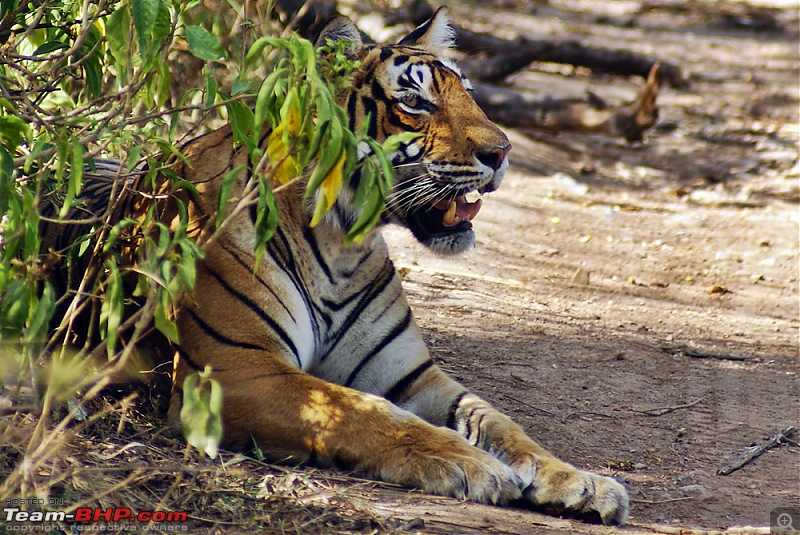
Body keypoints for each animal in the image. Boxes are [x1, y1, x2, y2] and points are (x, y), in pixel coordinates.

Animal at [45, 6, 632, 524]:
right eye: (415, 102)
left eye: (468, 92)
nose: (503, 152)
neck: (342, 243)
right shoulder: (236, 369)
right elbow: (360, 411)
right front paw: (470, 465)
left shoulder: (411, 375)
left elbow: (502, 423)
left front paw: (581, 481)